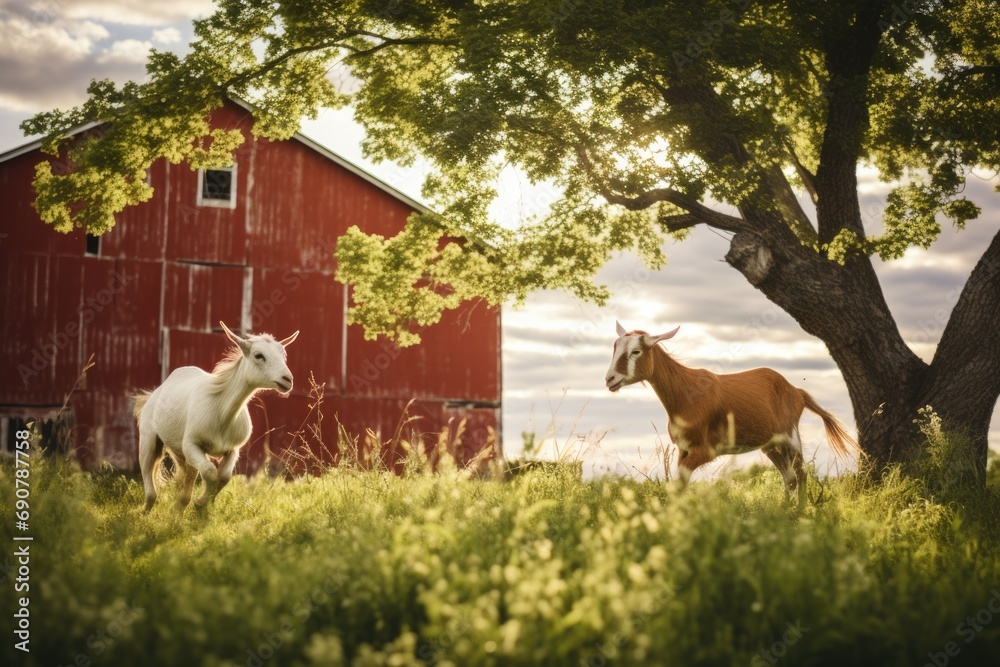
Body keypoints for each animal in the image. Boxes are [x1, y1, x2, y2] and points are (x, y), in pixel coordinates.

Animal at [604, 324, 856, 506]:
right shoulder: (683, 449)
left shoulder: (705, 450)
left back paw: (801, 512)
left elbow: (682, 483)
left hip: (790, 436)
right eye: (615, 348)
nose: (610, 379)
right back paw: (786, 511)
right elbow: (678, 485)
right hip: (771, 445)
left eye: (636, 351)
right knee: (789, 476)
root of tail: (797, 392)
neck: (687, 392)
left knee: (801, 474)